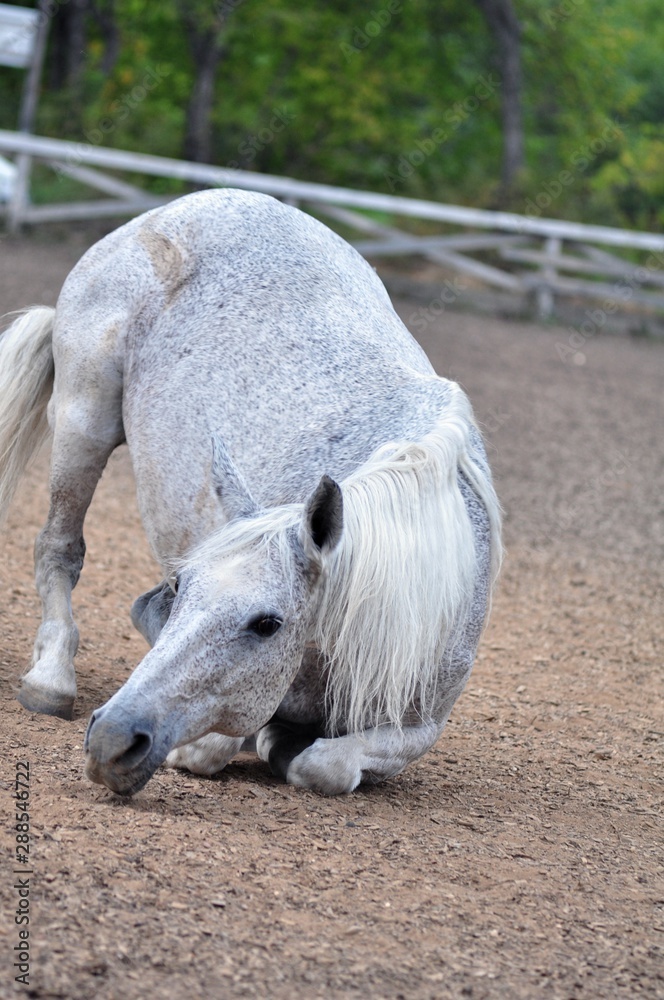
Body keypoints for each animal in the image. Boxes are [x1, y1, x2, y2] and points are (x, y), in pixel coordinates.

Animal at [0, 188, 501, 796]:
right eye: (180, 587)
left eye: (266, 623)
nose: (112, 739)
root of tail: (184, 205)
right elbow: (223, 743)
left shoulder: (421, 726)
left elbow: (323, 765)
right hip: (84, 419)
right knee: (59, 548)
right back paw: (51, 679)